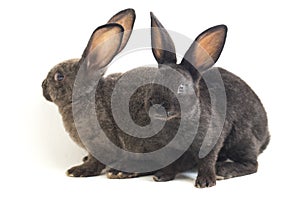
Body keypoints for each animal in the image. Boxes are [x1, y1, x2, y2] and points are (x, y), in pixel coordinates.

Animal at [144, 12, 270, 188]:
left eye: (181, 87)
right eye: (155, 80)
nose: (156, 106)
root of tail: (266, 135)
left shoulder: (211, 141)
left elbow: (207, 161)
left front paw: (205, 182)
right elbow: (173, 164)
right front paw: (162, 175)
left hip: (242, 139)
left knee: (252, 164)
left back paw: (224, 170)